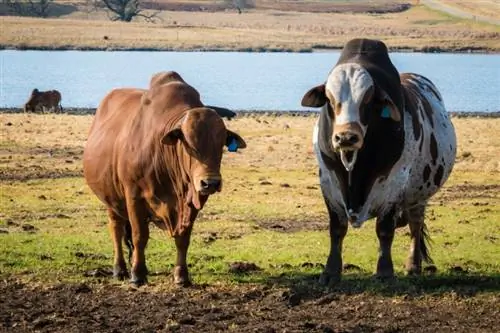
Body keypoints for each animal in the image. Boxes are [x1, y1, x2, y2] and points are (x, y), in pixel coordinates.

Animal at [83, 70, 246, 286]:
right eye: (189, 144)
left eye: (221, 144)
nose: (210, 183)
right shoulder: (134, 196)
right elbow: (140, 236)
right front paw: (137, 274)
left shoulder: (191, 202)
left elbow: (183, 239)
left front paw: (181, 275)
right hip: (111, 198)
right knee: (116, 229)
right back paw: (120, 269)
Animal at [300, 38, 458, 282]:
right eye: (330, 98)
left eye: (368, 99)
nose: (346, 137)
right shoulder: (328, 183)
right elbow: (337, 229)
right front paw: (330, 271)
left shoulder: (393, 185)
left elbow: (384, 230)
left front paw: (384, 271)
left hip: (419, 194)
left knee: (415, 224)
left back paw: (413, 265)